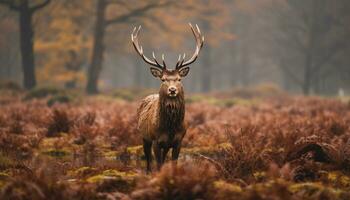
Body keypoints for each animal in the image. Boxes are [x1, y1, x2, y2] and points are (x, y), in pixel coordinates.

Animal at [131, 22, 202, 171]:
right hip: (144, 137)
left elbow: (173, 162)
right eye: (163, 79)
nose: (172, 90)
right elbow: (158, 164)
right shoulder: (156, 140)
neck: (170, 128)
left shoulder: (178, 141)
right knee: (148, 160)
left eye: (179, 79)